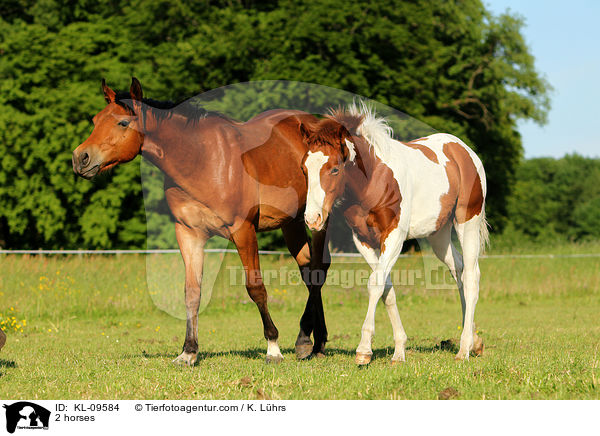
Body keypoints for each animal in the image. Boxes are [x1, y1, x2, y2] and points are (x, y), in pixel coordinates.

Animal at [74, 77, 332, 364]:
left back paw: (311, 341)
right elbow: (192, 292)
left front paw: (273, 347)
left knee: (319, 270)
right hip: (292, 222)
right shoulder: (189, 234)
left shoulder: (243, 230)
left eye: (122, 123)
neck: (201, 160)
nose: (80, 158)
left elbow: (255, 287)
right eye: (96, 120)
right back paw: (311, 341)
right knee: (309, 270)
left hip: (317, 219)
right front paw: (188, 351)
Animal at [300, 104, 488, 366]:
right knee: (458, 270)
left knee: (471, 276)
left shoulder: (395, 236)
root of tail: (466, 151)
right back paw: (474, 341)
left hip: (467, 223)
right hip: (438, 235)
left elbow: (375, 284)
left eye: (335, 169)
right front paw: (399, 351)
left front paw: (364, 350)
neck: (373, 181)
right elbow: (386, 289)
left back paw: (464, 349)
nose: (312, 219)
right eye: (304, 168)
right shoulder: (363, 241)